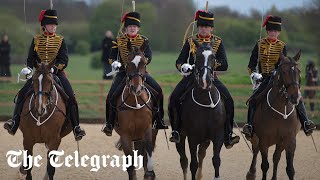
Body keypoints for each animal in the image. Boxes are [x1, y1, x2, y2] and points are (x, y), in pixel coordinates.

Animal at [114, 40, 158, 180]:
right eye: (128, 63)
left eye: (144, 62)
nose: (136, 88)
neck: (135, 102)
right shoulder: (126, 136)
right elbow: (131, 166)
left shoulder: (148, 130)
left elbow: (148, 152)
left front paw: (150, 172)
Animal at [174, 39, 226, 180]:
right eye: (197, 56)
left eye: (213, 57)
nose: (205, 81)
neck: (205, 99)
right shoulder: (192, 137)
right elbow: (193, 164)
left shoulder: (218, 136)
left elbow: (216, 160)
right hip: (181, 137)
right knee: (184, 160)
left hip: (206, 139)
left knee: (201, 153)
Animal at [246, 51, 304, 180]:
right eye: (284, 71)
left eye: (299, 71)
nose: (295, 97)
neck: (281, 110)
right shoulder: (263, 141)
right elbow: (264, 165)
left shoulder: (290, 140)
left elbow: (290, 169)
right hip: (255, 138)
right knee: (255, 152)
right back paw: (251, 173)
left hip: (280, 143)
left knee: (276, 157)